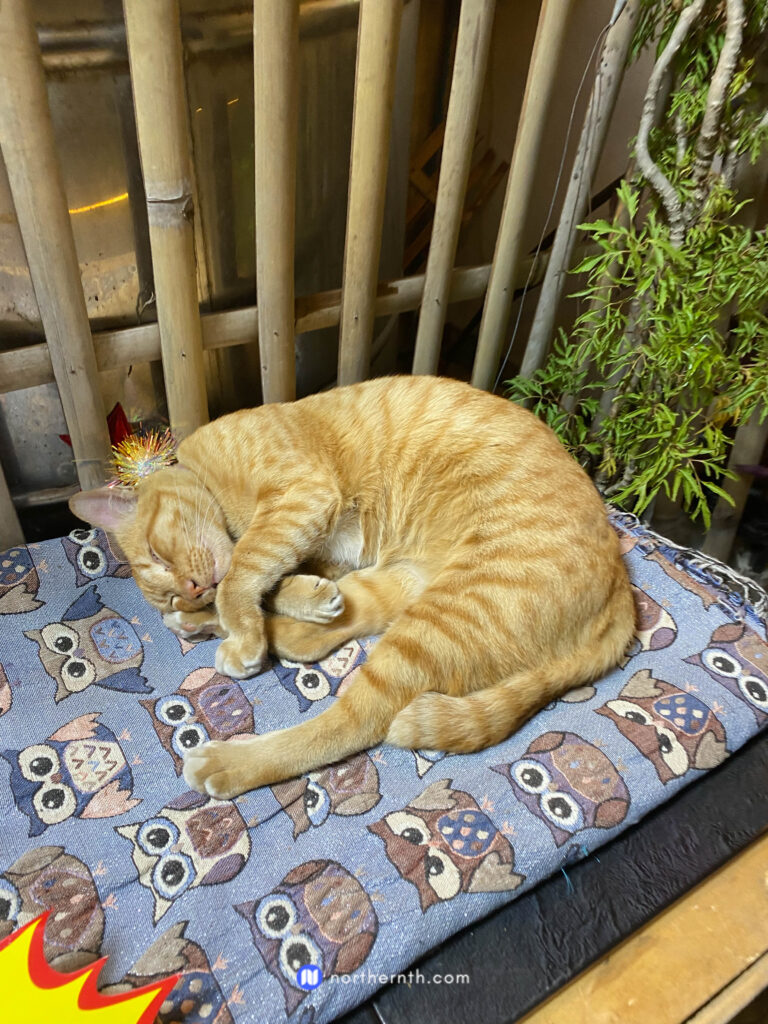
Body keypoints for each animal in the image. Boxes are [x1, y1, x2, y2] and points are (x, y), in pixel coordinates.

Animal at [70, 376, 635, 798]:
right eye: (166, 584)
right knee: (334, 631)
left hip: (445, 615)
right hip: (415, 587)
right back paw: (257, 631)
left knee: (351, 724)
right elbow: (267, 580)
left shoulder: (301, 497)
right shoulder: (325, 548)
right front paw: (272, 607)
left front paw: (240, 627)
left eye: (156, 556)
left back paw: (231, 756)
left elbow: (243, 571)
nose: (188, 594)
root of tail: (620, 589)